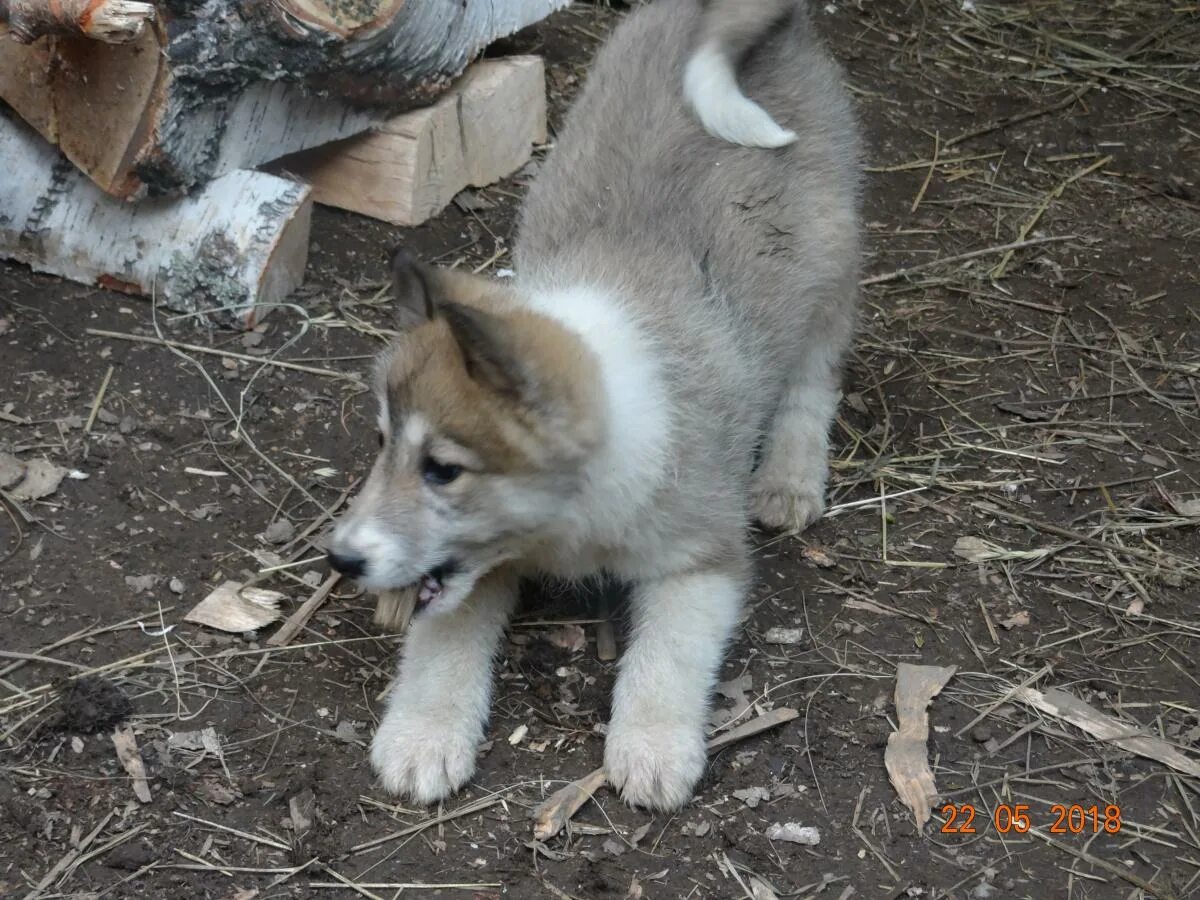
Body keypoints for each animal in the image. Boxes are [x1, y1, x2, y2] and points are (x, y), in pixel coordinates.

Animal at [324, 0, 859, 816]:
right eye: (379, 443)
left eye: (443, 469)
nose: (341, 559)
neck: (570, 524)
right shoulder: (478, 574)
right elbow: (443, 639)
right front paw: (422, 734)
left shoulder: (703, 559)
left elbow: (667, 656)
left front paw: (653, 748)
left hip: (828, 269)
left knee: (811, 380)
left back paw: (790, 477)